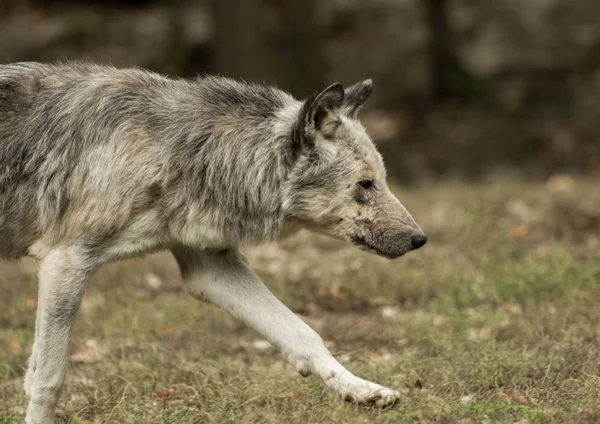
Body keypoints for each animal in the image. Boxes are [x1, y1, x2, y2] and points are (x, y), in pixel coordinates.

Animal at [0, 61, 426, 422]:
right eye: (365, 185)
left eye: (382, 180)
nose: (420, 239)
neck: (181, 150)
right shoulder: (65, 263)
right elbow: (48, 380)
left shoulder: (209, 267)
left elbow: (303, 333)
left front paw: (362, 390)